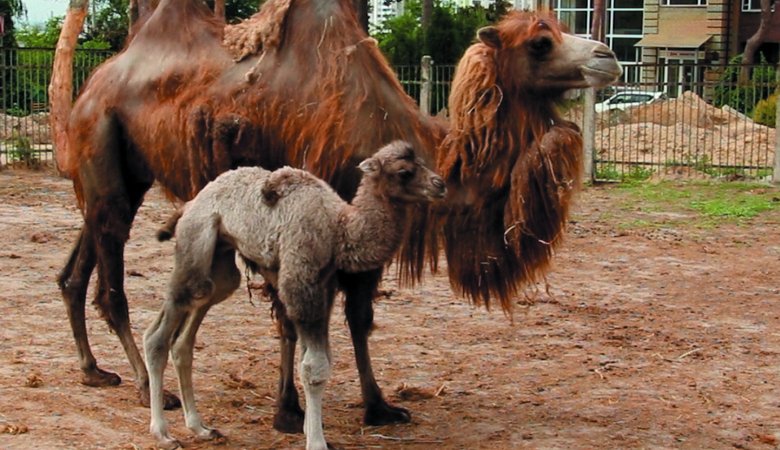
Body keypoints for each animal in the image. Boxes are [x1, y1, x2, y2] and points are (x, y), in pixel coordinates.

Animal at [142, 142, 442, 450]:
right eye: (404, 171)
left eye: (421, 161)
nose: (439, 184)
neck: (339, 228)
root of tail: (189, 205)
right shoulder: (301, 285)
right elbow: (314, 368)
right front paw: (317, 442)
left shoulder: (324, 287)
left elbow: (314, 360)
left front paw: (310, 429)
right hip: (196, 241)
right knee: (158, 335)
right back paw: (163, 433)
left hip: (220, 260)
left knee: (187, 332)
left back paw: (200, 428)